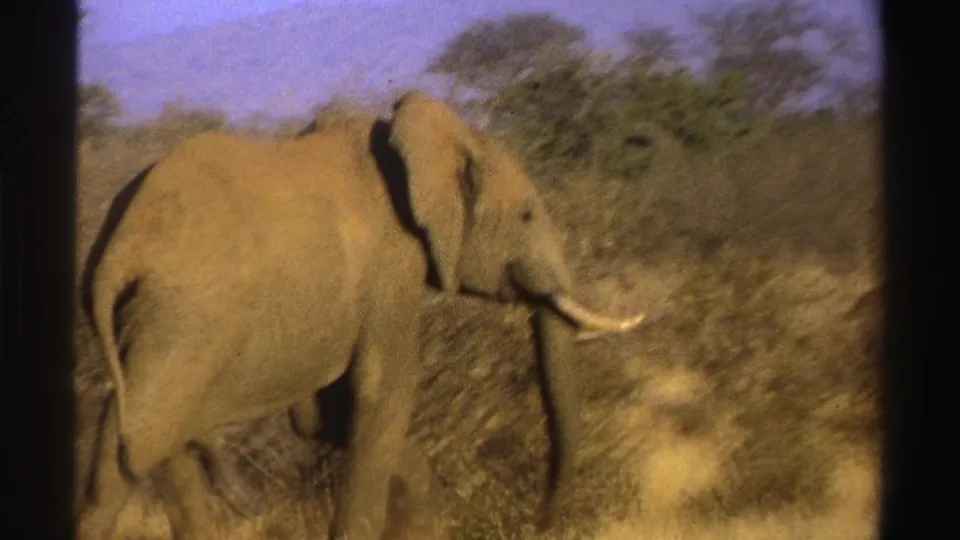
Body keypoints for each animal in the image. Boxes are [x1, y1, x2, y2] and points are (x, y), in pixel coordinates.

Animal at [76, 91, 645, 540]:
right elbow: (385, 389)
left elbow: (324, 416)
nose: (541, 521)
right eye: (527, 215)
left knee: (154, 439)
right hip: (189, 315)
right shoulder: (390, 266)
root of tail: (117, 249)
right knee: (138, 434)